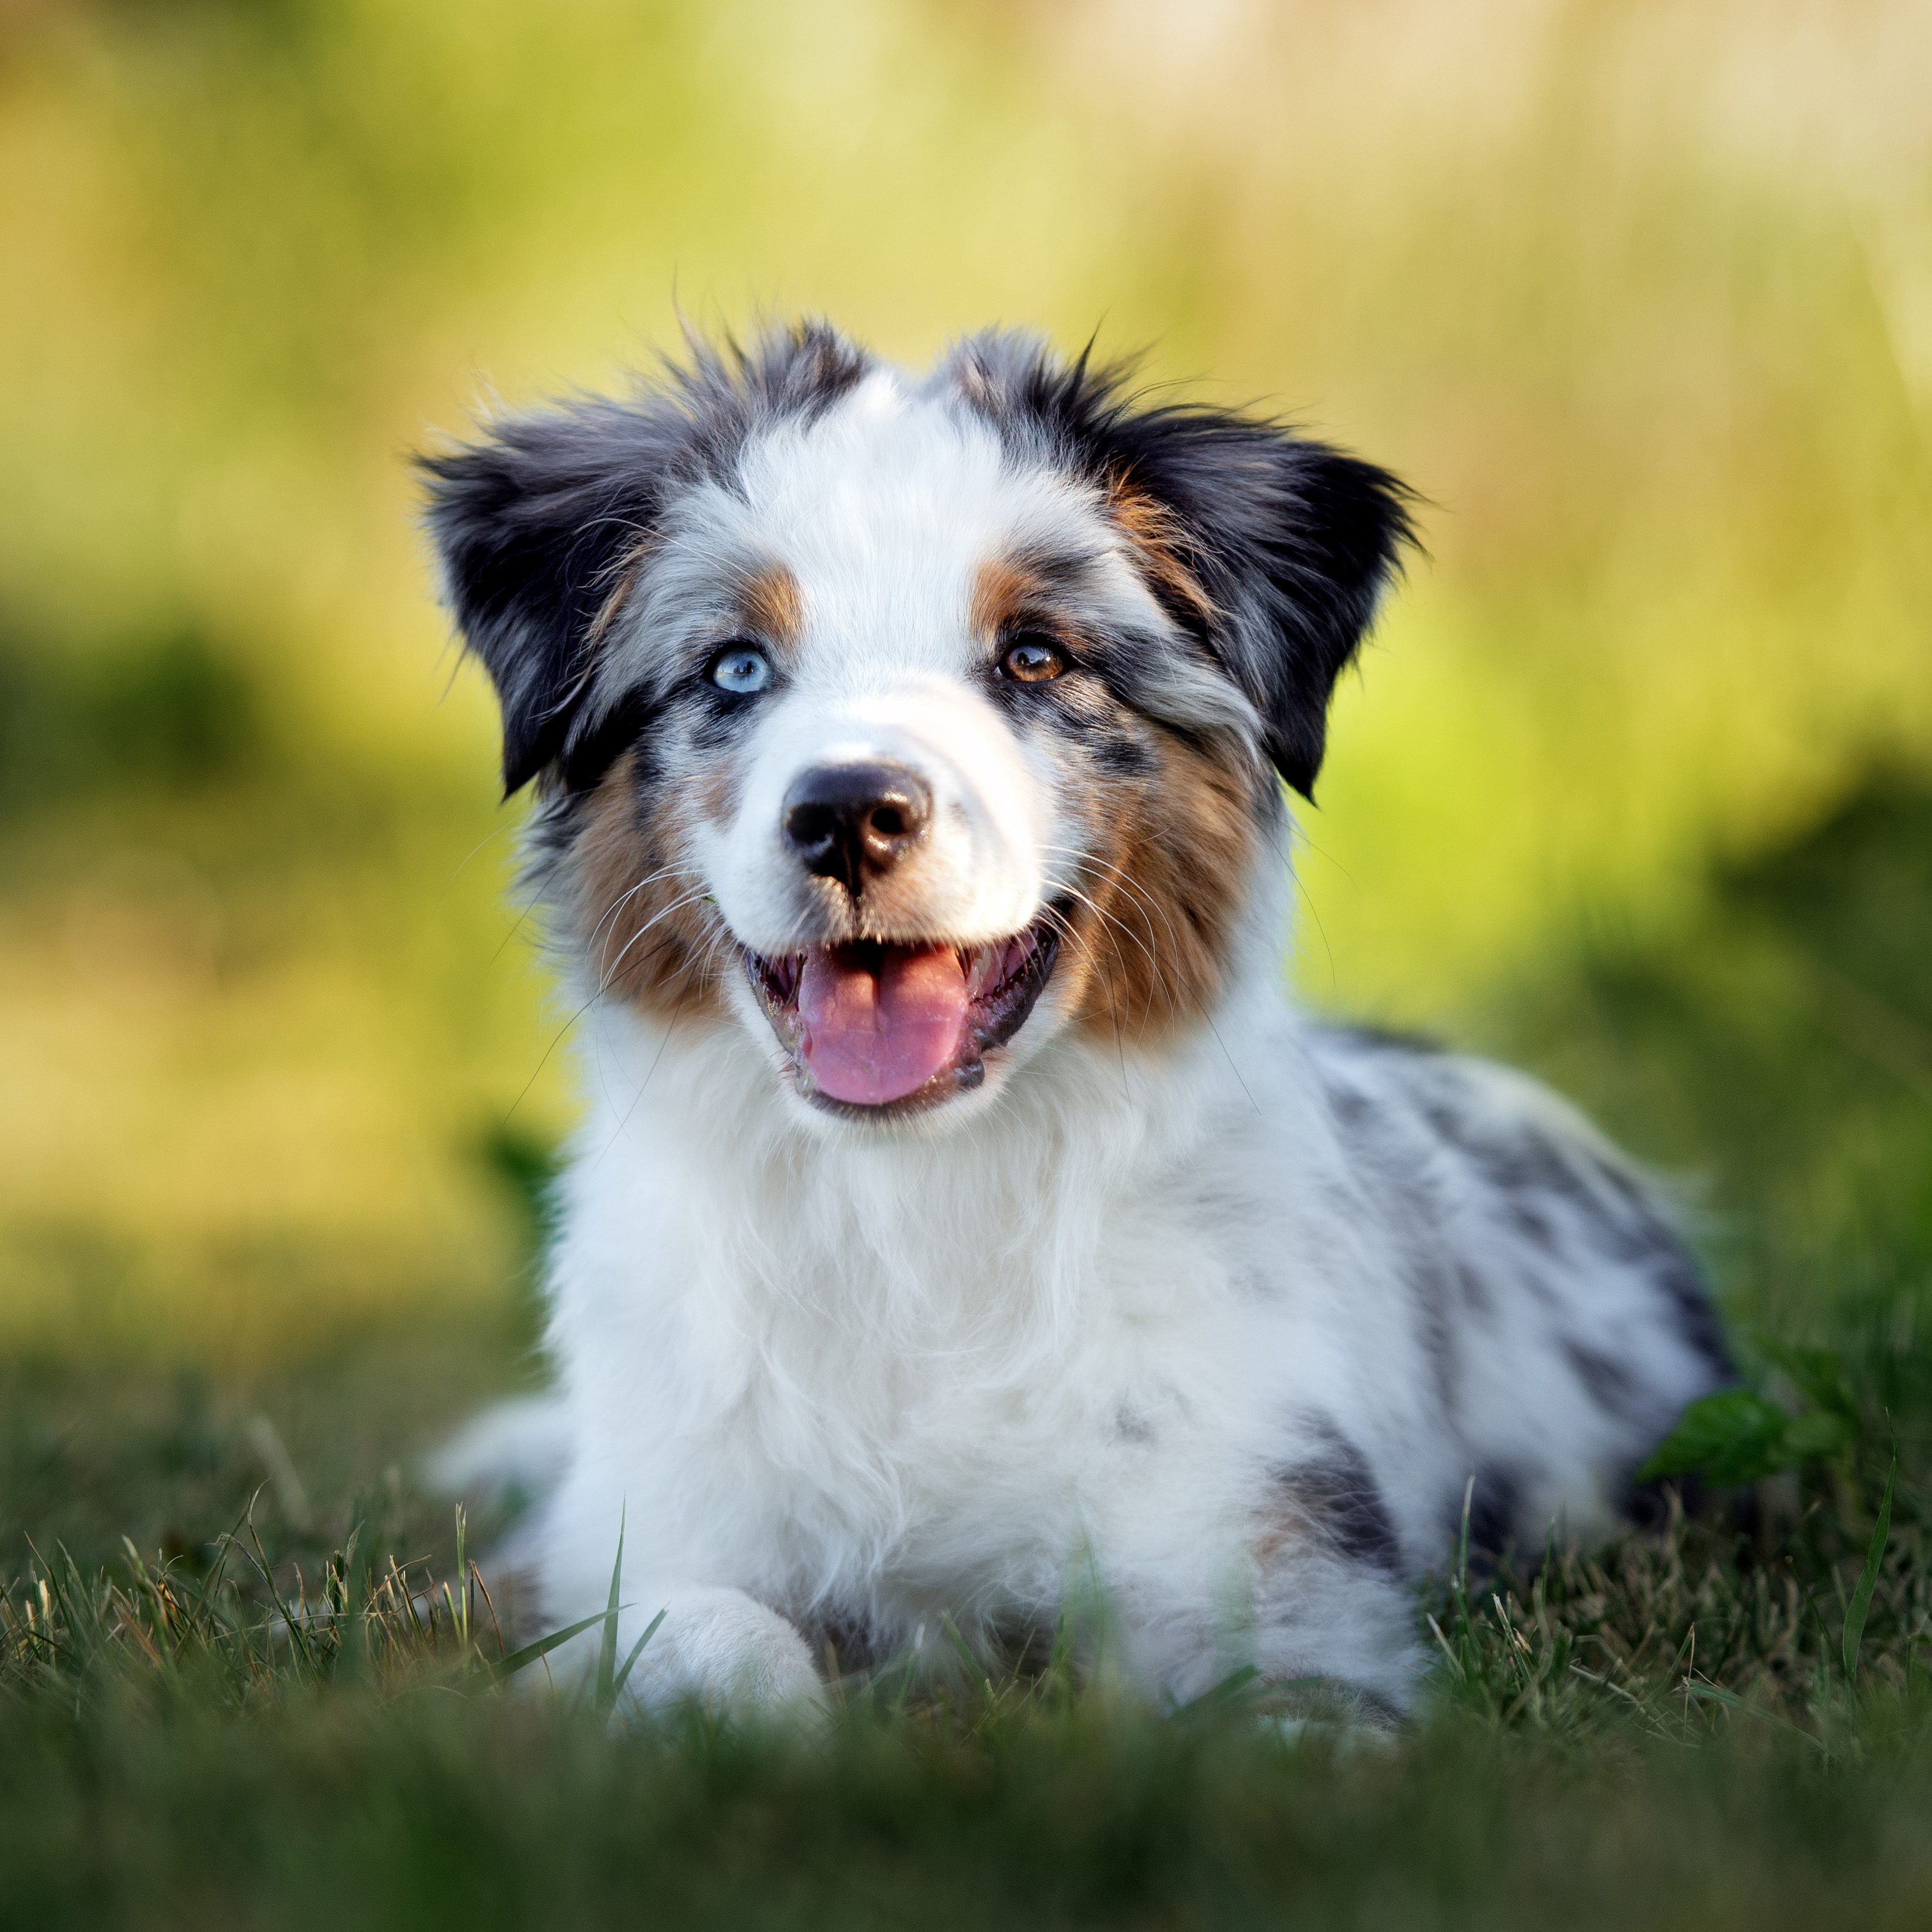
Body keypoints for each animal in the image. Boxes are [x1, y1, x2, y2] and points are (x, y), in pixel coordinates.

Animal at [419, 320, 1723, 1723]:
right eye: (736, 667)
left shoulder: (1277, 1553)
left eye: (1034, 656)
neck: (913, 1214)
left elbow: (1271, 1709)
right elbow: (699, 1632)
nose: (847, 814)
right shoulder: (634, 1530)